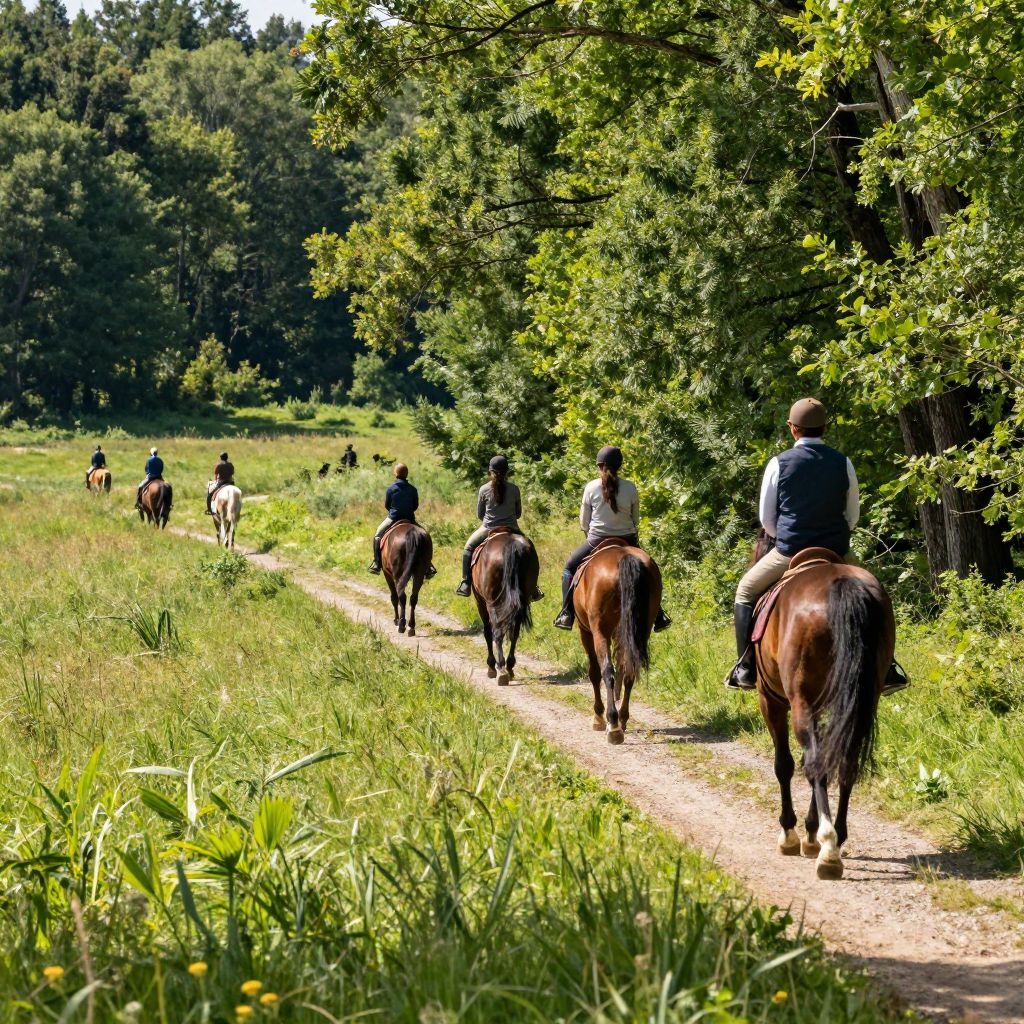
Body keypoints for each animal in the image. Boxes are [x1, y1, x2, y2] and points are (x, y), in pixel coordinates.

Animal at [471, 531, 540, 686]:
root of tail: (512, 546)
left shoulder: (480, 601)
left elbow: (487, 632)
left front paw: (491, 667)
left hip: (491, 603)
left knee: (496, 633)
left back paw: (501, 669)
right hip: (521, 602)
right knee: (514, 633)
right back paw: (509, 667)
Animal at [574, 544, 662, 745]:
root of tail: (624, 556)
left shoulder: (586, 631)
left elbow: (594, 673)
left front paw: (598, 717)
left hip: (599, 632)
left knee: (607, 671)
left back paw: (613, 725)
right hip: (641, 629)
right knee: (630, 672)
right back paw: (621, 720)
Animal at [751, 531, 895, 880]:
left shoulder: (772, 701)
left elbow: (785, 765)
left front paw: (792, 833)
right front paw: (810, 831)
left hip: (797, 703)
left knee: (815, 764)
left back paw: (827, 848)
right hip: (859, 702)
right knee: (845, 764)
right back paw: (837, 837)